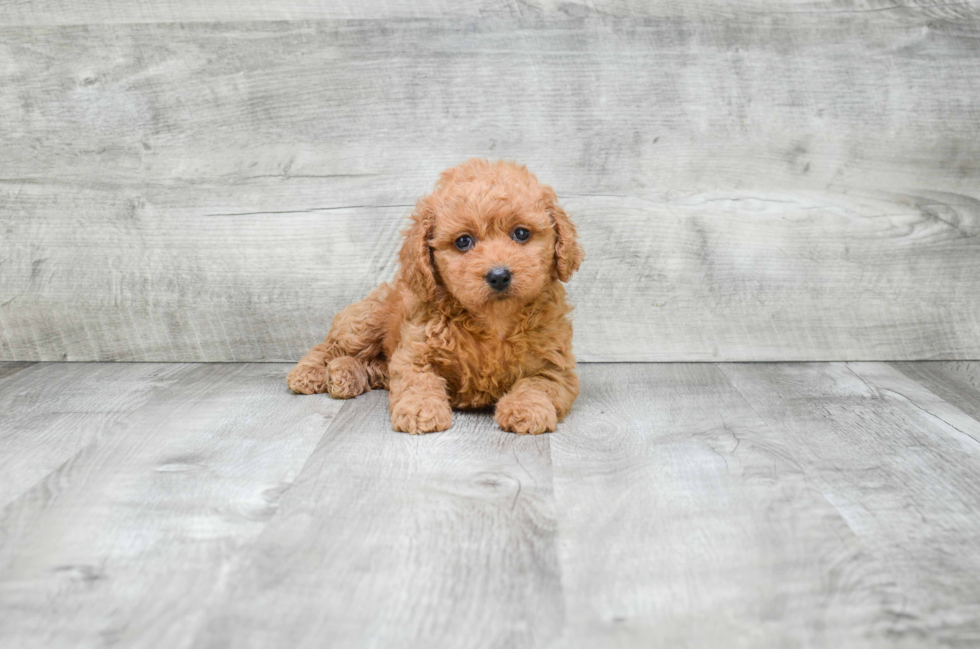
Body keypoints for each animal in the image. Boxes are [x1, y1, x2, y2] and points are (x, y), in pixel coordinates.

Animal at [288, 157, 584, 432]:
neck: (493, 321)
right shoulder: (415, 351)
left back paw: (343, 375)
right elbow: (419, 381)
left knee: (370, 365)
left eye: (521, 233)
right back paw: (309, 373)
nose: (499, 275)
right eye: (463, 241)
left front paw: (526, 410)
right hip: (364, 324)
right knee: (330, 346)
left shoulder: (555, 365)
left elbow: (538, 384)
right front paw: (421, 410)